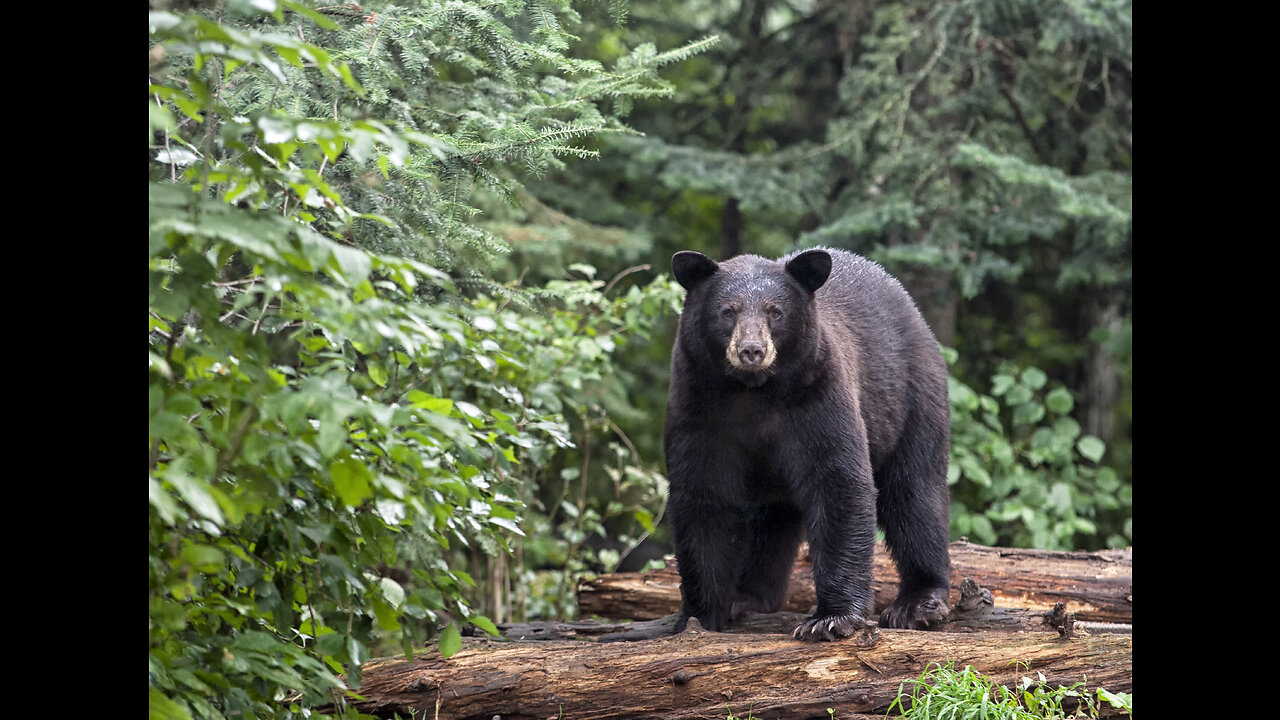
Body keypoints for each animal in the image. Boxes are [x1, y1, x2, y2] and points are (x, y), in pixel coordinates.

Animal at [670, 244, 952, 638]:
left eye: (775, 311)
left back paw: (918, 602)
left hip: (911, 398)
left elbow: (838, 481)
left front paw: (831, 618)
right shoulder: (698, 407)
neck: (752, 393)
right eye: (728, 311)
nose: (752, 350)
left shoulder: (817, 396)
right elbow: (702, 496)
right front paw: (699, 616)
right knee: (769, 519)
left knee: (915, 492)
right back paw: (748, 597)